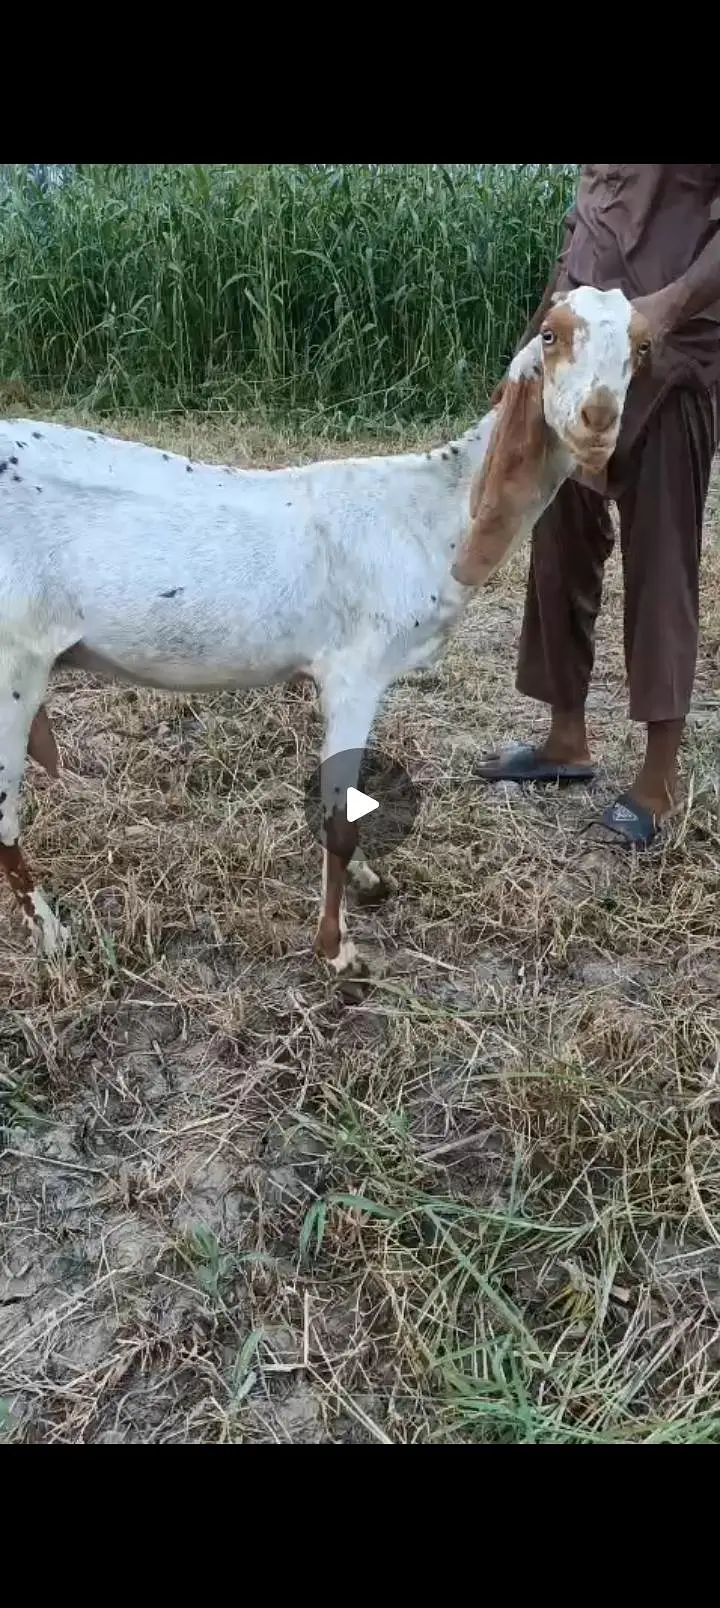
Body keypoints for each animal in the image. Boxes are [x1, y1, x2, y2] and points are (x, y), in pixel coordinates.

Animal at [0, 286, 651, 975]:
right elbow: (340, 815)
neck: (433, 510)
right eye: (551, 335)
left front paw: (366, 881)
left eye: (642, 346)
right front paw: (338, 950)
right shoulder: (354, 670)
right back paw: (50, 933)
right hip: (14, 658)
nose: (598, 416)